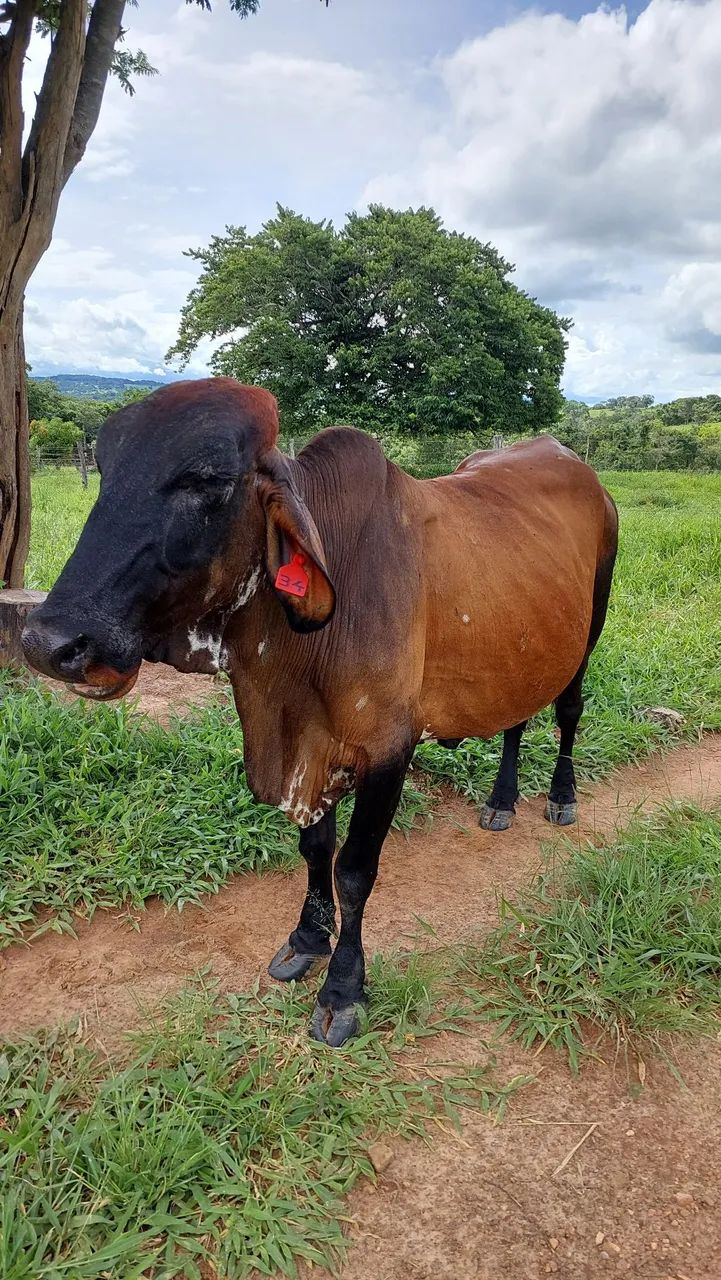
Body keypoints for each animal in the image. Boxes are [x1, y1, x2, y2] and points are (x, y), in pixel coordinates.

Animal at [22, 378, 618, 1046]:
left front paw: (342, 989)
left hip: (587, 631)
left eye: (208, 478)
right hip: (523, 644)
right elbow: (314, 848)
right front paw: (307, 939)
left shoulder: (387, 749)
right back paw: (501, 800)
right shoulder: (310, 746)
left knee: (568, 711)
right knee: (517, 716)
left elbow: (355, 870)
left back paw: (560, 796)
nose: (50, 643)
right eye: (104, 469)